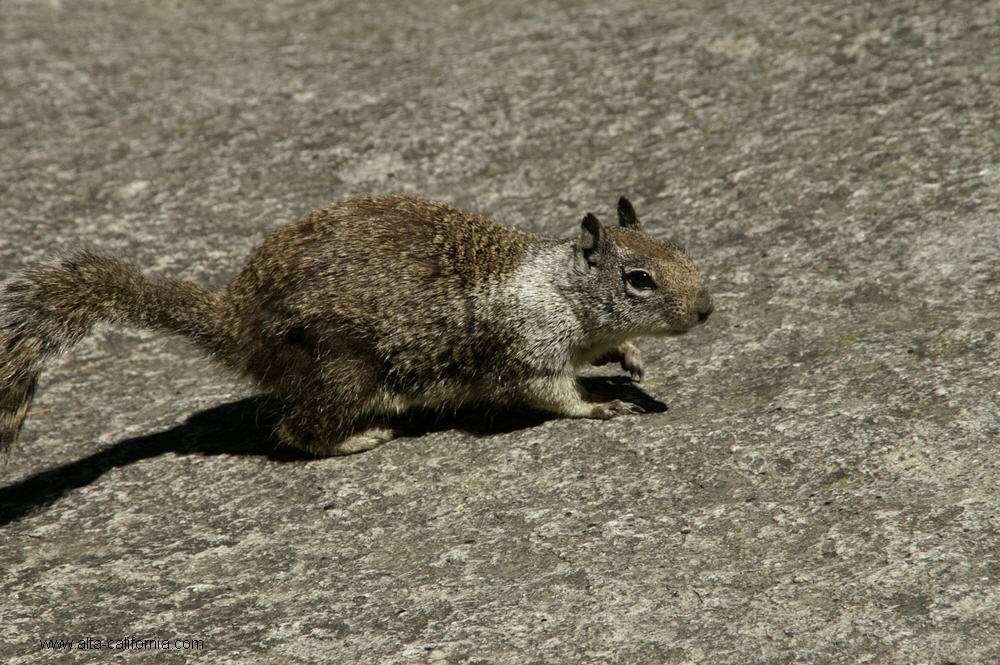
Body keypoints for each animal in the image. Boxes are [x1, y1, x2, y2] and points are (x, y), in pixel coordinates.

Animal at [3, 193, 716, 456]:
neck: (563, 291)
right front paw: (598, 406)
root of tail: (237, 320)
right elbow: (550, 393)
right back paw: (359, 438)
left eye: (679, 249)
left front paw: (630, 361)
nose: (707, 309)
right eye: (639, 279)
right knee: (296, 430)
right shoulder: (527, 347)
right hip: (345, 371)